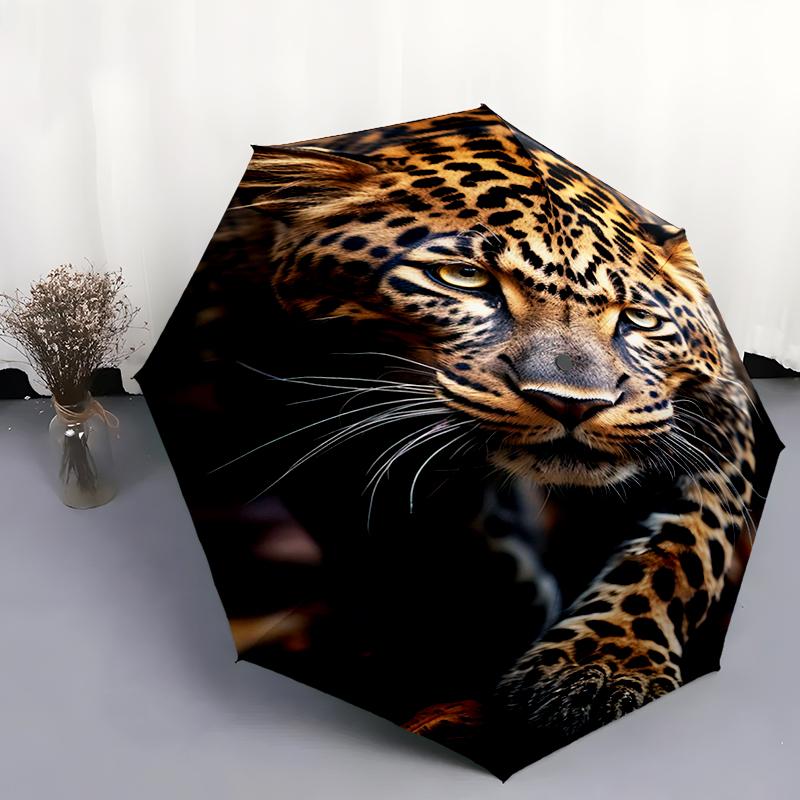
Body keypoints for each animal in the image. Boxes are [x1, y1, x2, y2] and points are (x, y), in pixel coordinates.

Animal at [225, 105, 764, 769]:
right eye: (461, 278)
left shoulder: (717, 410)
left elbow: (680, 548)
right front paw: (493, 617)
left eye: (640, 318)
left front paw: (601, 667)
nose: (573, 404)